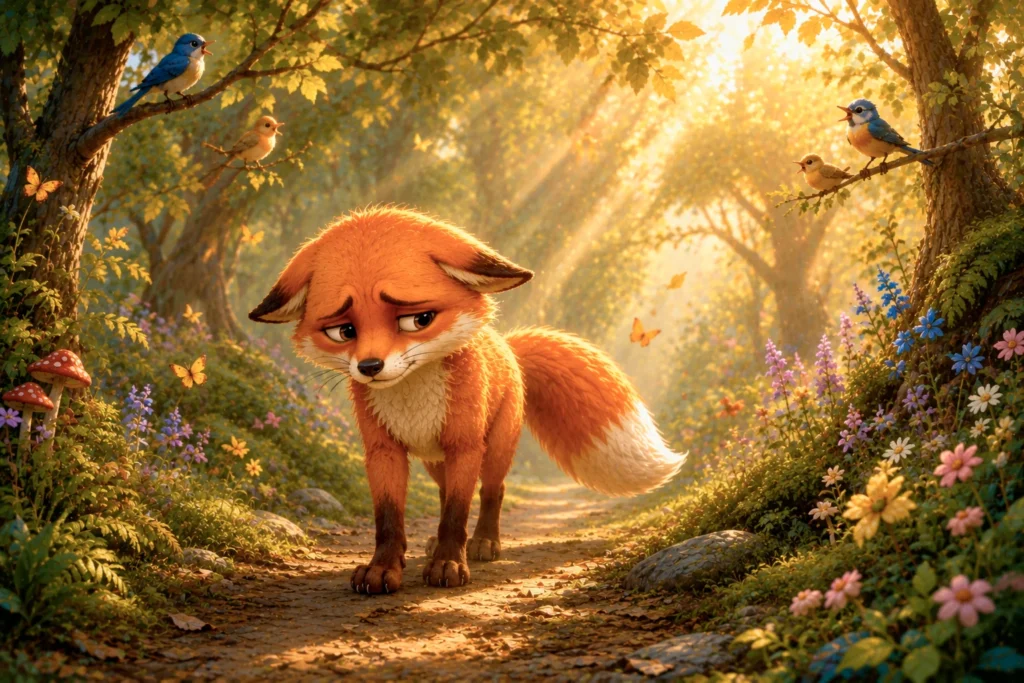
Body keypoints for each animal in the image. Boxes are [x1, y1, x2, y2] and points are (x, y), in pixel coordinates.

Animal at [249, 207, 685, 594]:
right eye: (343, 331)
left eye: (418, 320)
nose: (370, 367)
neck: (412, 401)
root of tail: (508, 347)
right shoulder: (383, 451)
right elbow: (389, 519)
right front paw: (384, 568)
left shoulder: (465, 444)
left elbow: (458, 512)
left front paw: (448, 564)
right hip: (433, 461)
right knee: (444, 494)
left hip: (494, 449)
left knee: (493, 492)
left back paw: (484, 543)